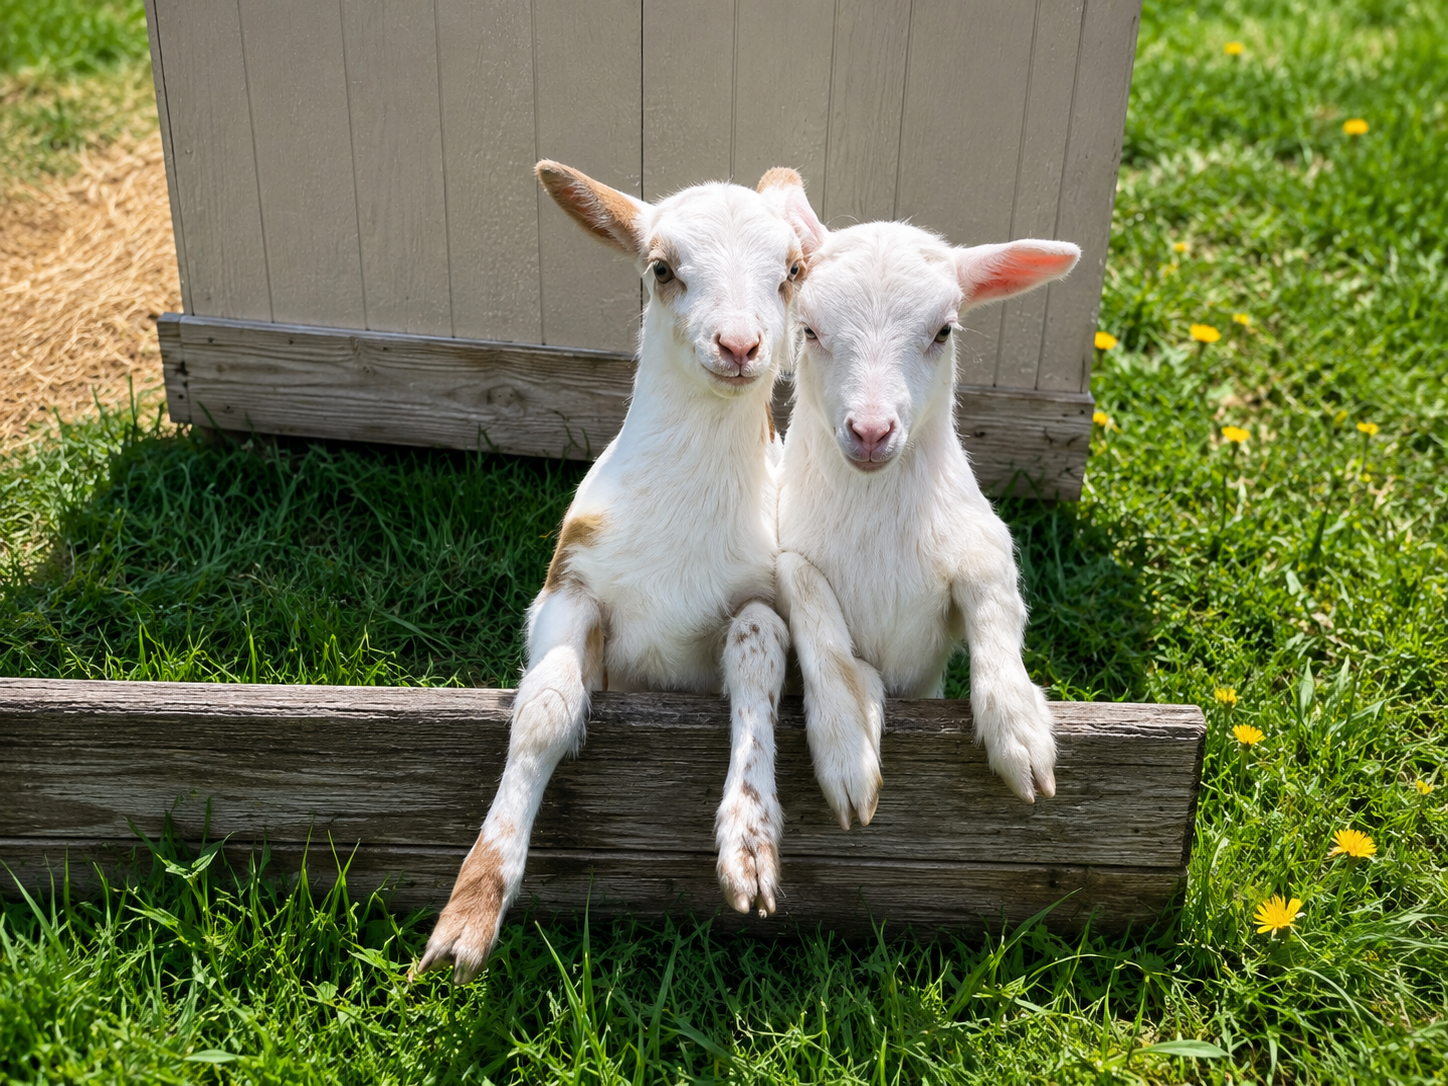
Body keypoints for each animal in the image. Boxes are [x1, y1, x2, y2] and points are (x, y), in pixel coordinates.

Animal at [415, 162, 812, 983]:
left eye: (791, 272)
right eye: (661, 269)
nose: (739, 344)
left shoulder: (763, 596)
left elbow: (756, 657)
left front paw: (751, 848)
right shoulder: (568, 591)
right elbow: (544, 707)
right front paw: (468, 916)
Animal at [772, 200, 1080, 830]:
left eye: (944, 331)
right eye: (809, 329)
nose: (870, 431)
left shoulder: (982, 542)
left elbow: (994, 604)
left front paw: (1020, 733)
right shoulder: (782, 548)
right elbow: (811, 607)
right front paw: (846, 750)